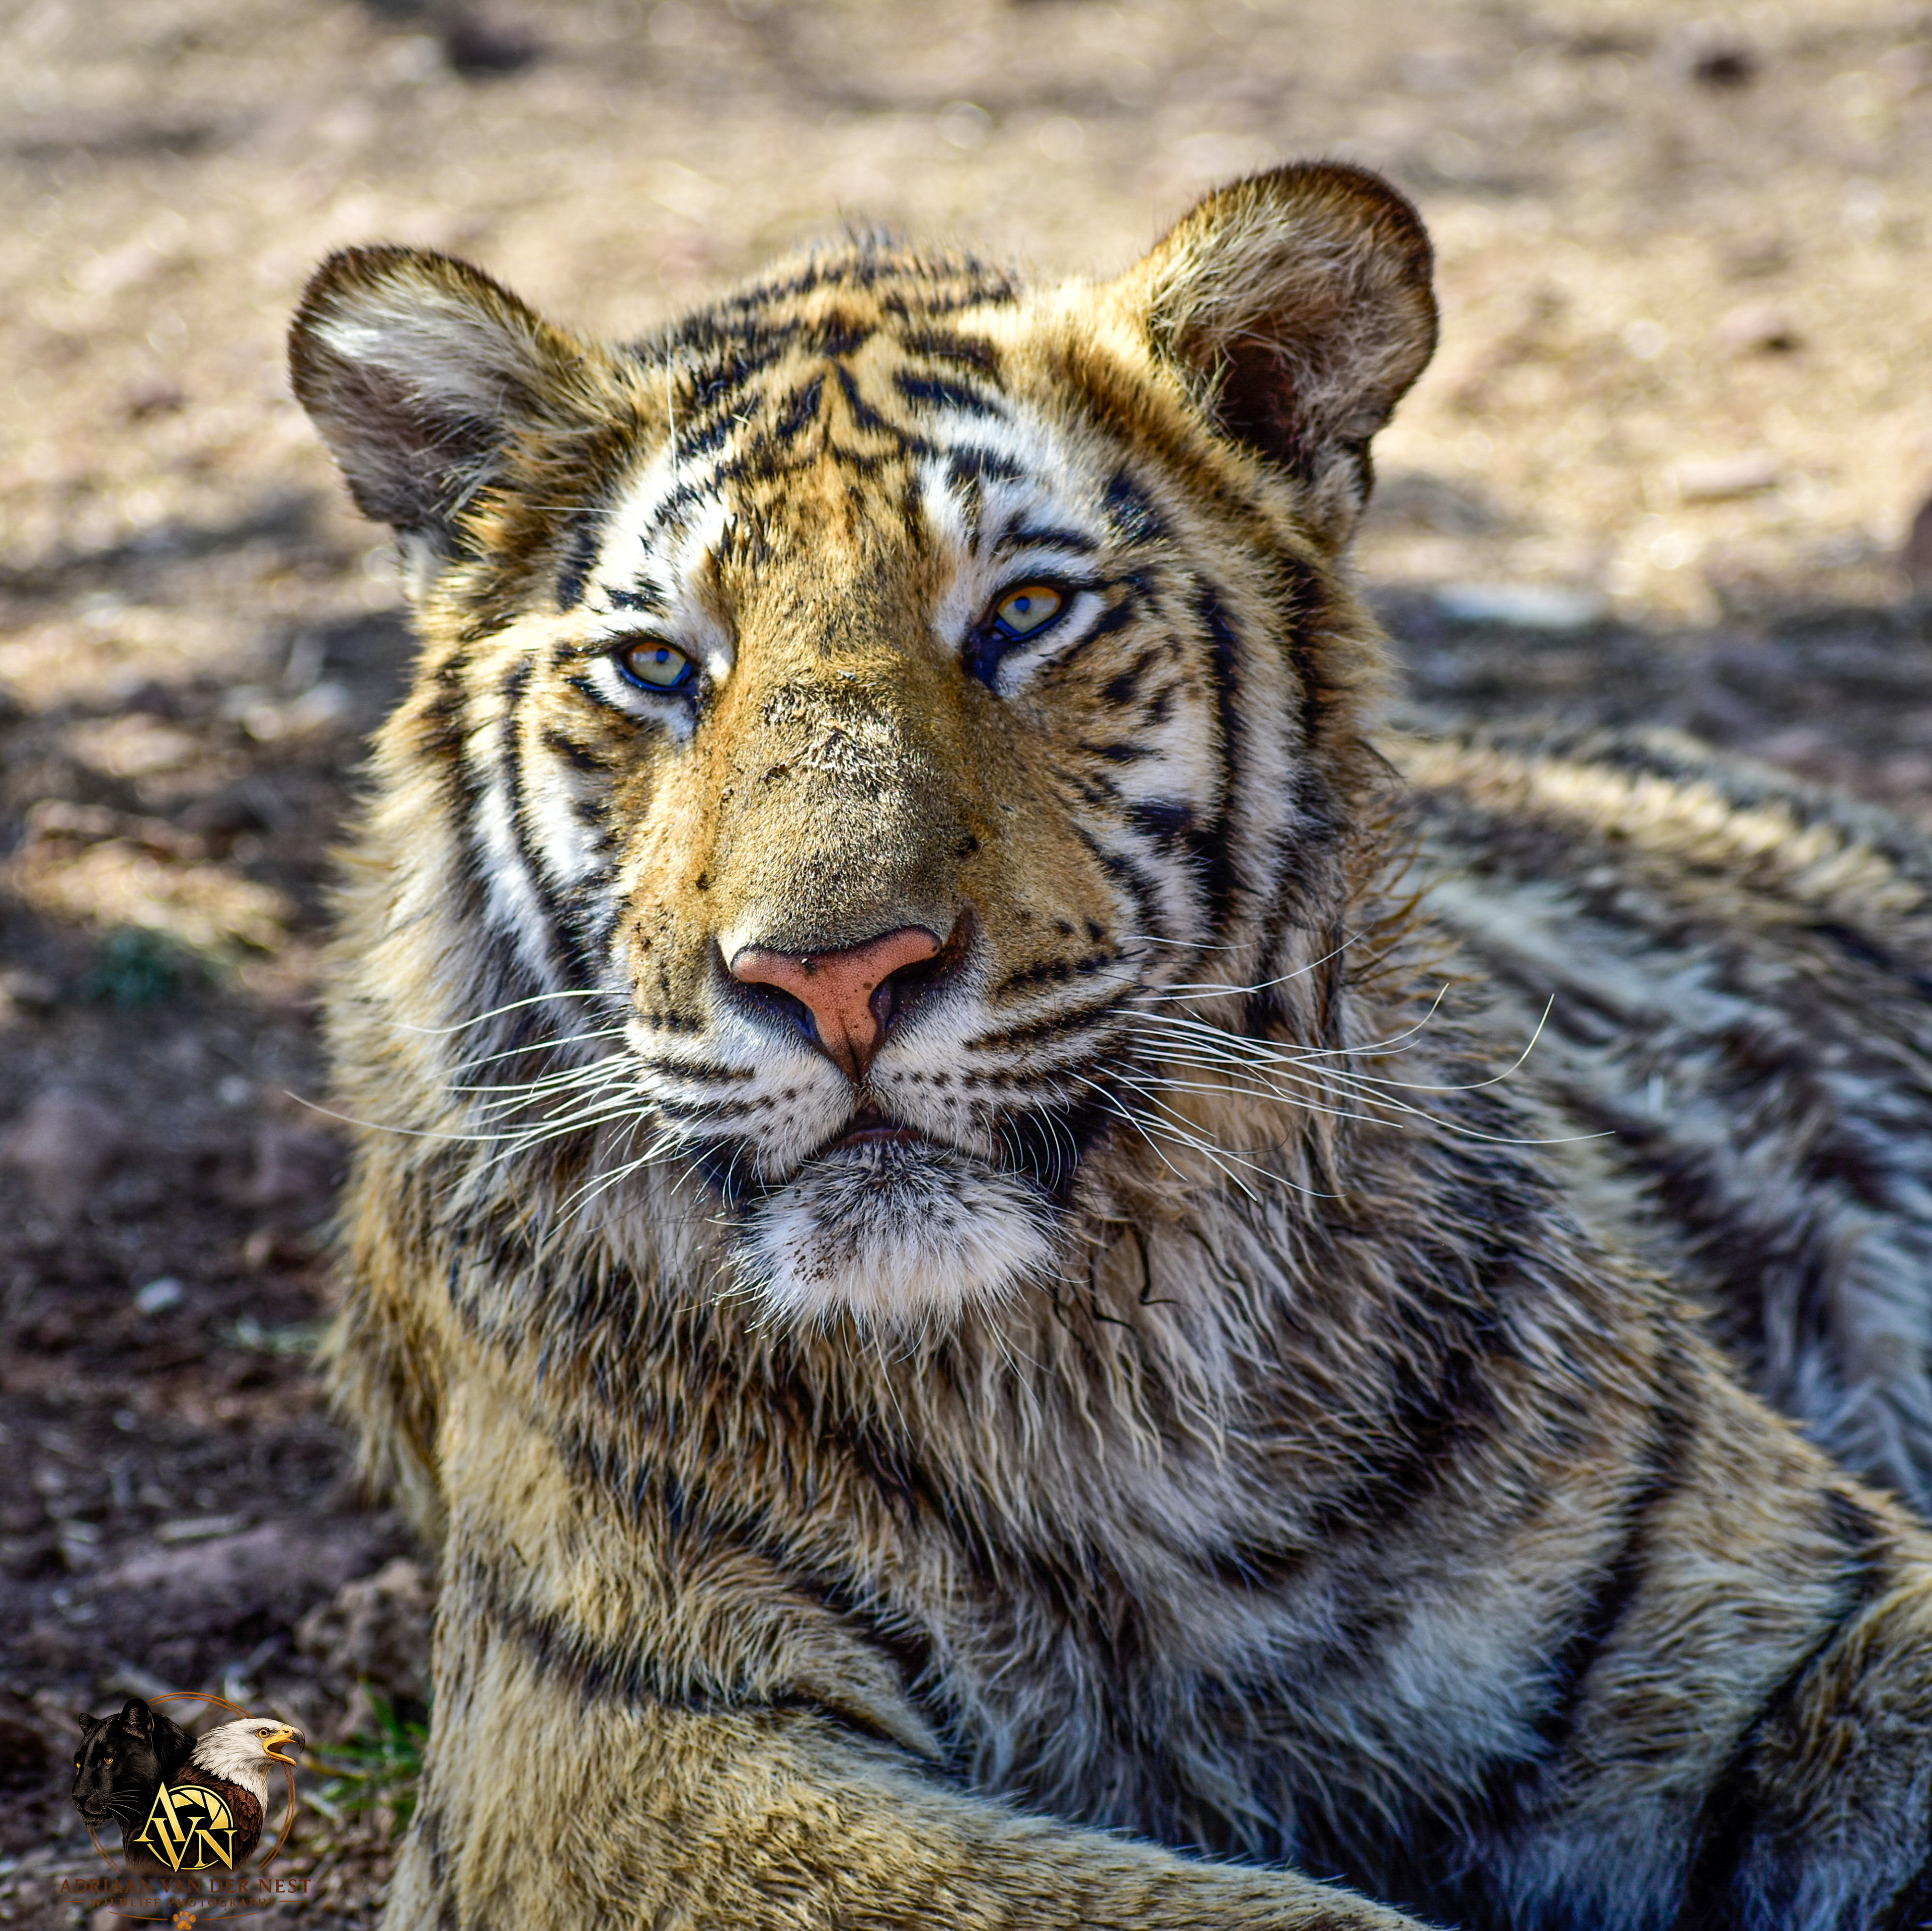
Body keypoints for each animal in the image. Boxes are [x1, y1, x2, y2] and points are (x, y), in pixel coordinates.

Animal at [289, 162, 1932, 1930]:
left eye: (1023, 611)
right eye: (662, 663)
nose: (836, 976)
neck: (1086, 1380)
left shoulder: (1787, 1594)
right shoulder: (624, 1754)